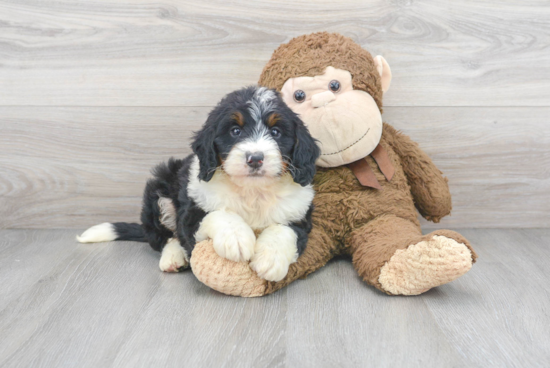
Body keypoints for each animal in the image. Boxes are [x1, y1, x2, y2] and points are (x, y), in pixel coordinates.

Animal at [75, 86, 322, 282]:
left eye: (276, 132)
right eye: (235, 131)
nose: (255, 158)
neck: (252, 191)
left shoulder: (298, 214)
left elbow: (284, 230)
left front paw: (270, 259)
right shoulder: (193, 212)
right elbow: (216, 215)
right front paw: (236, 238)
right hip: (159, 191)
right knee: (165, 237)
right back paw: (173, 257)